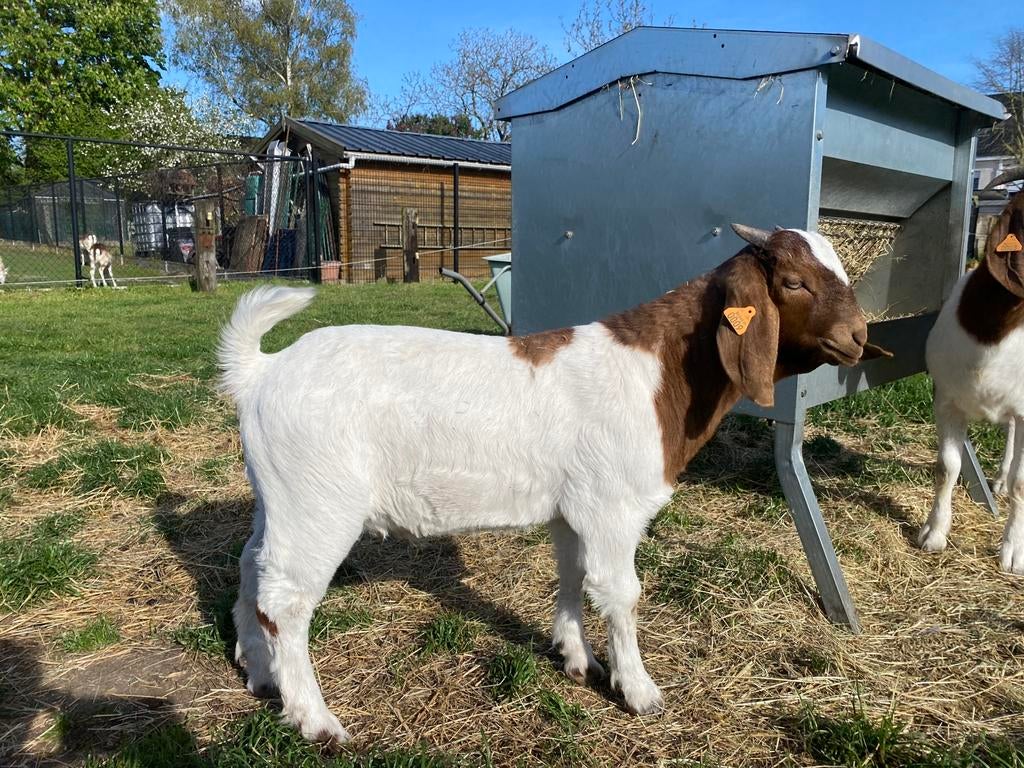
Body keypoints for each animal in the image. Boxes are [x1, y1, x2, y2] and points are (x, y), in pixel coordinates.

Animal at [218, 224, 888, 745]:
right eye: (795, 282)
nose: (859, 337)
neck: (658, 374)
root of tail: (261, 372)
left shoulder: (574, 508)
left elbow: (571, 573)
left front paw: (576, 657)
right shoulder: (613, 507)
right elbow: (620, 593)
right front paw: (639, 689)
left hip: (279, 499)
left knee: (252, 565)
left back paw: (258, 670)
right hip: (319, 503)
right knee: (286, 601)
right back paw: (315, 719)